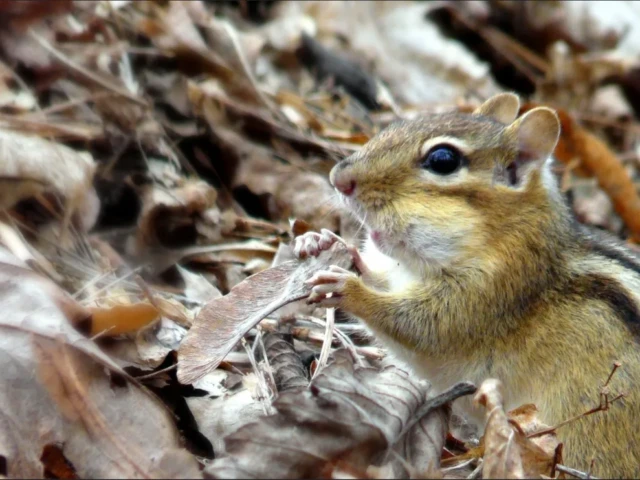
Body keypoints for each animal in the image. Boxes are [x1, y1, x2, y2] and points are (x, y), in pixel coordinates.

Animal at [293, 93, 640, 477]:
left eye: (443, 160)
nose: (338, 178)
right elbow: (379, 275)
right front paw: (323, 242)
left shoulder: (488, 294)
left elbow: (422, 328)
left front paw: (348, 288)